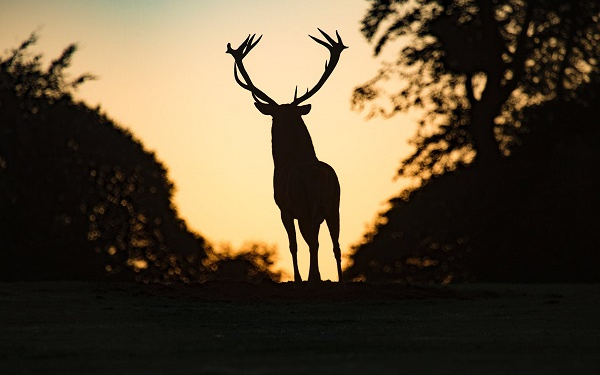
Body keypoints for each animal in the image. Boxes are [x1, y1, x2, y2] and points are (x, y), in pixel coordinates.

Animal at [226, 29, 346, 286]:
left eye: (274, 116)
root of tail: (320, 176)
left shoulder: (283, 208)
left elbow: (292, 245)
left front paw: (299, 278)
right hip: (335, 204)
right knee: (336, 245)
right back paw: (339, 279)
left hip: (305, 206)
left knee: (312, 242)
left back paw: (313, 278)